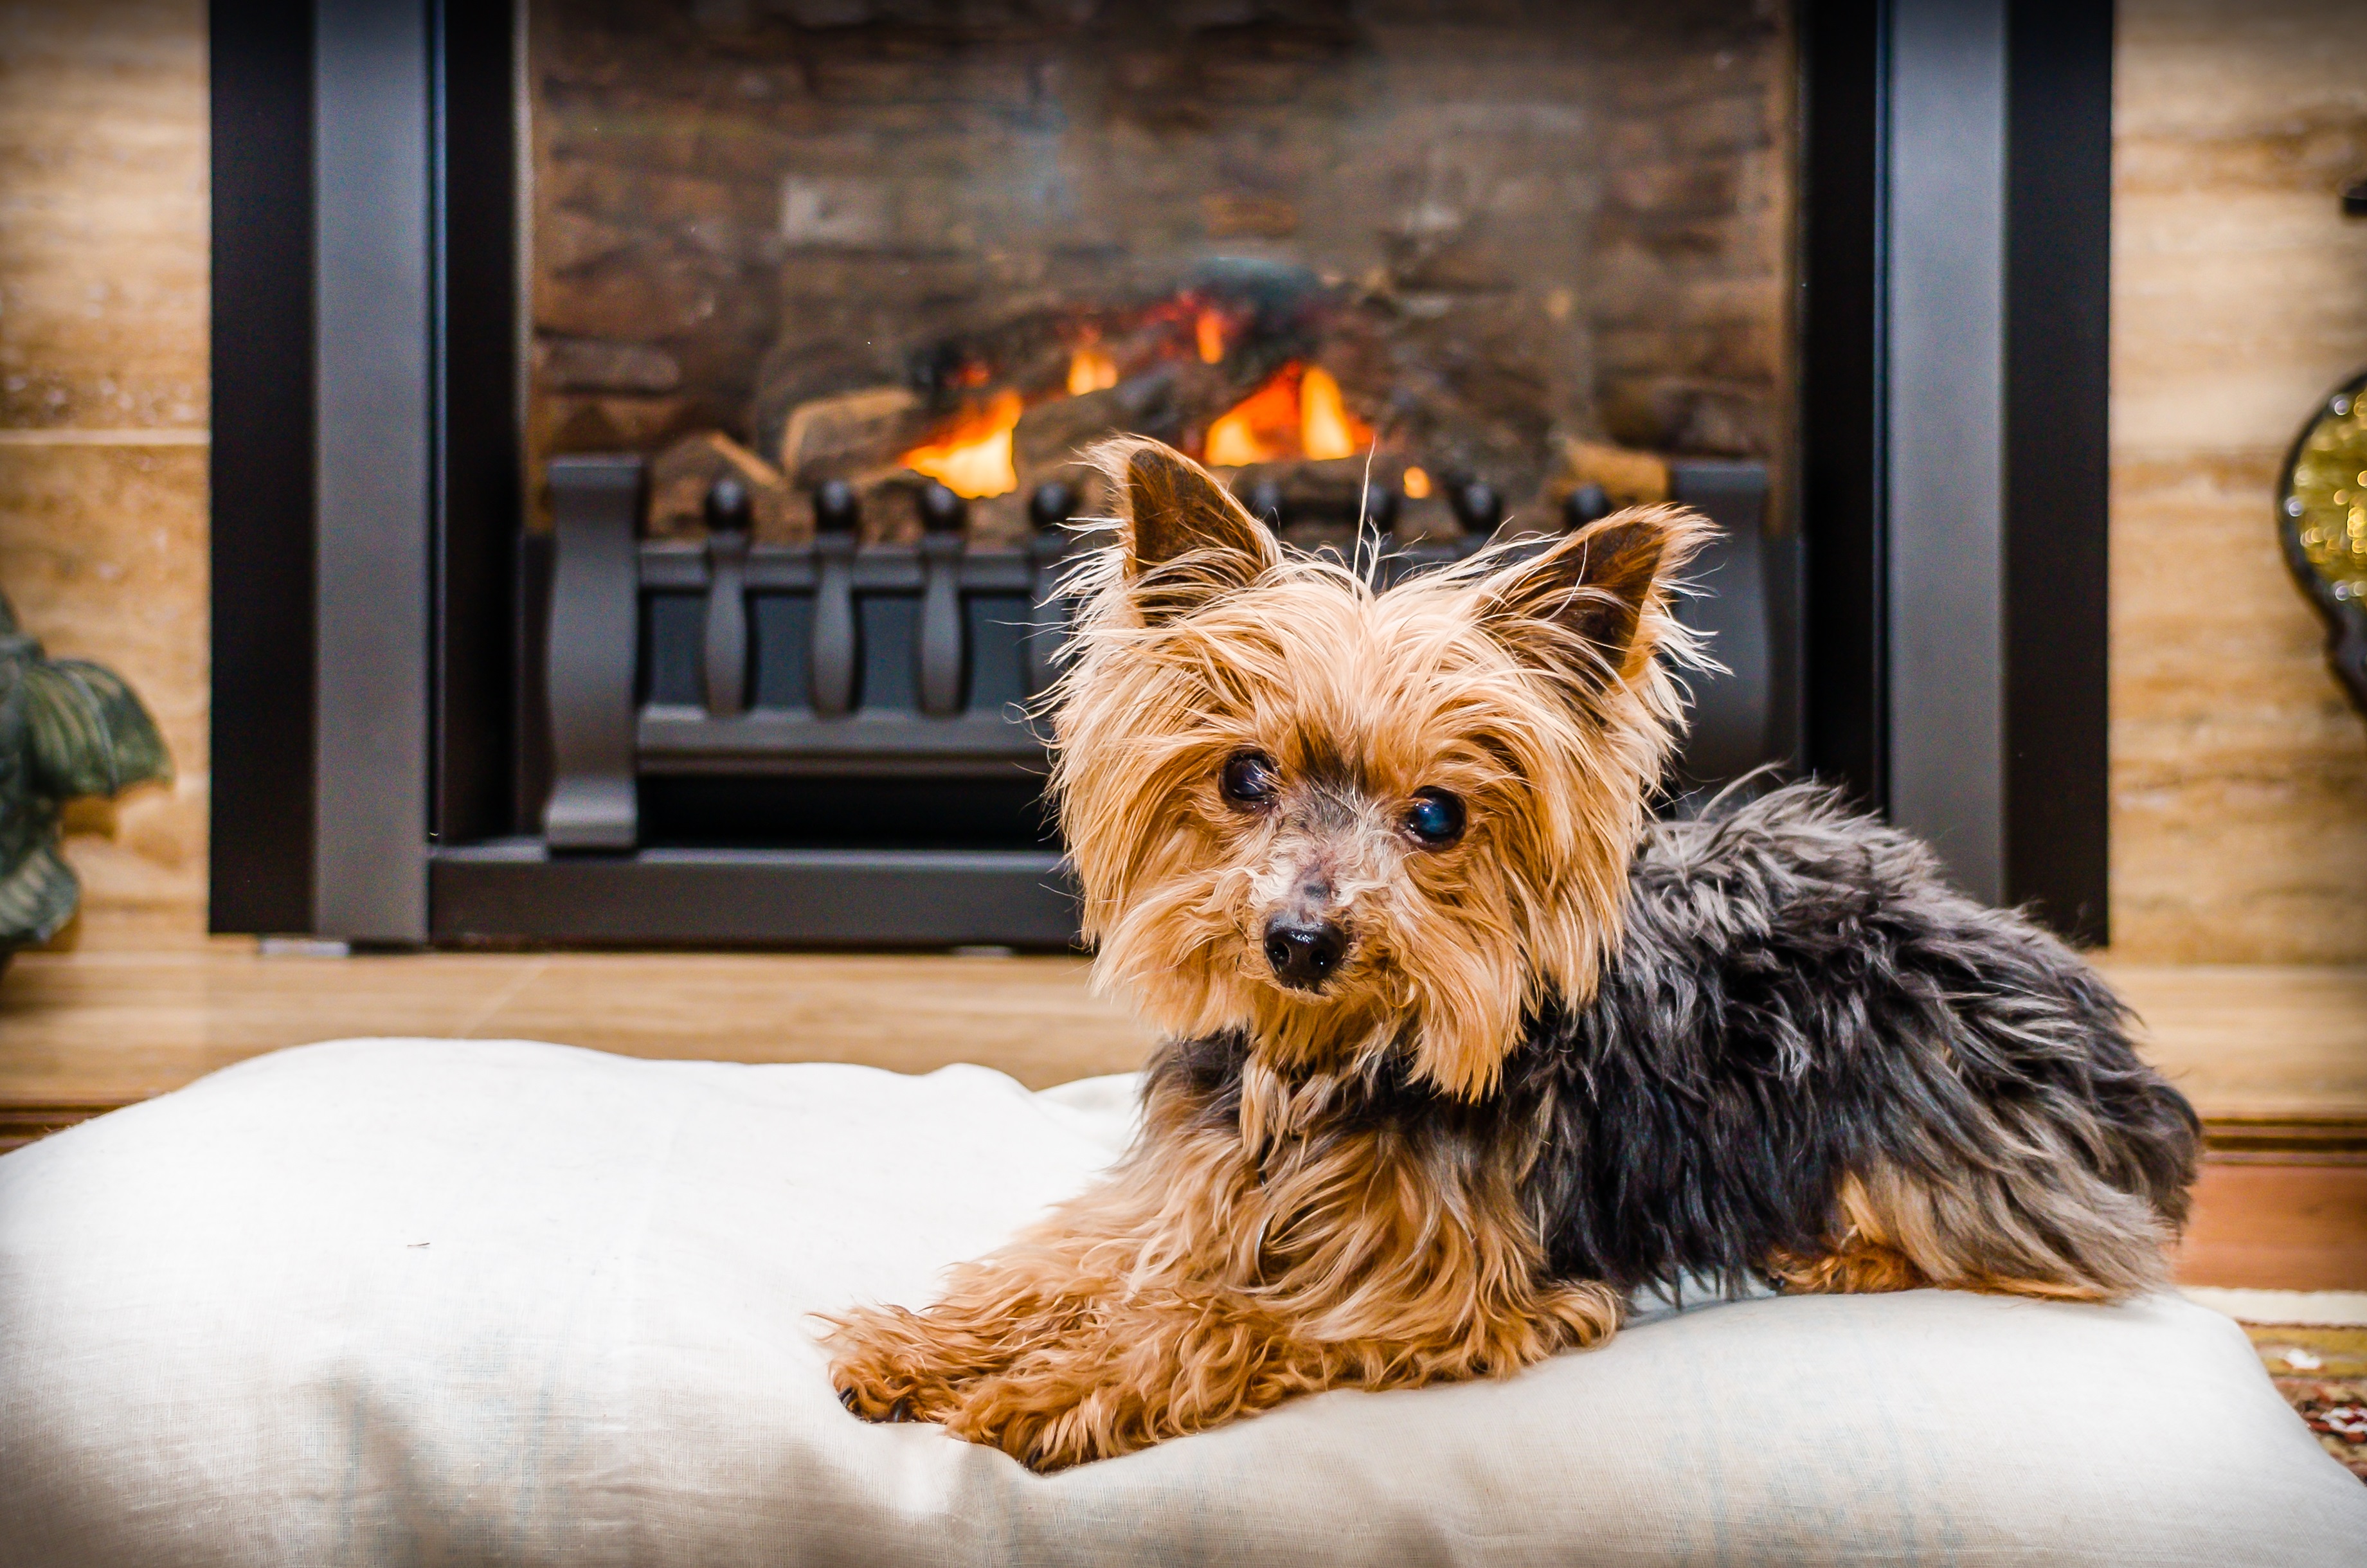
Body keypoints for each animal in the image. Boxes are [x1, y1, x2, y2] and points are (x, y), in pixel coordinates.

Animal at [828, 438, 2196, 1477]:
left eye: (1436, 814)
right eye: (1245, 776)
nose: (1301, 937)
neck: (1324, 1061)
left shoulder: (1445, 1287)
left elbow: (1220, 1309)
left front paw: (1054, 1384)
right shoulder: (1185, 1186)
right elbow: (1071, 1254)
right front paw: (927, 1341)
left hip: (1947, 1138)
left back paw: (1836, 1251)